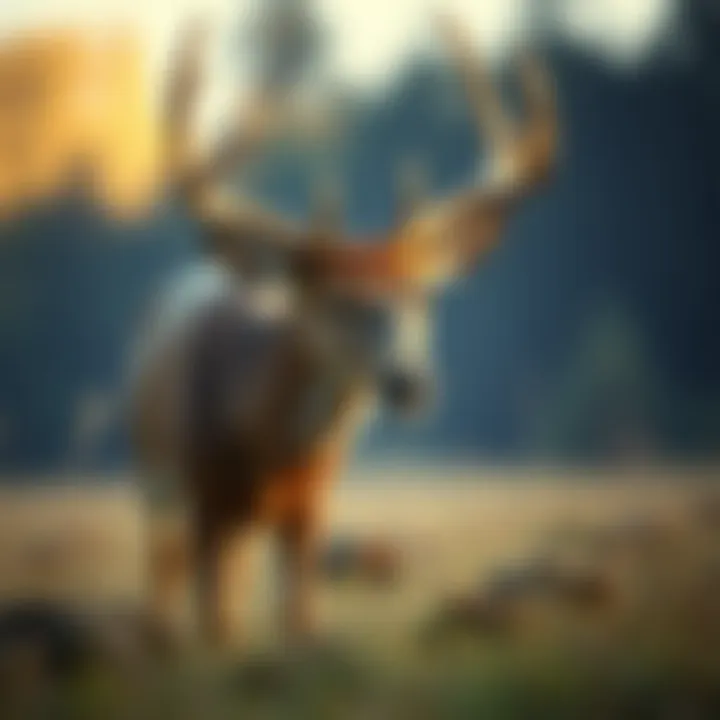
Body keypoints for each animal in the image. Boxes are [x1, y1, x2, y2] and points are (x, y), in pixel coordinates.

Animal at [129, 15, 558, 649]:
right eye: (336, 302)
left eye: (422, 297)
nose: (410, 381)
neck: (263, 453)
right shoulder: (205, 499)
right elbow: (215, 623)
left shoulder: (311, 512)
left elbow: (301, 621)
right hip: (154, 477)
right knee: (163, 575)